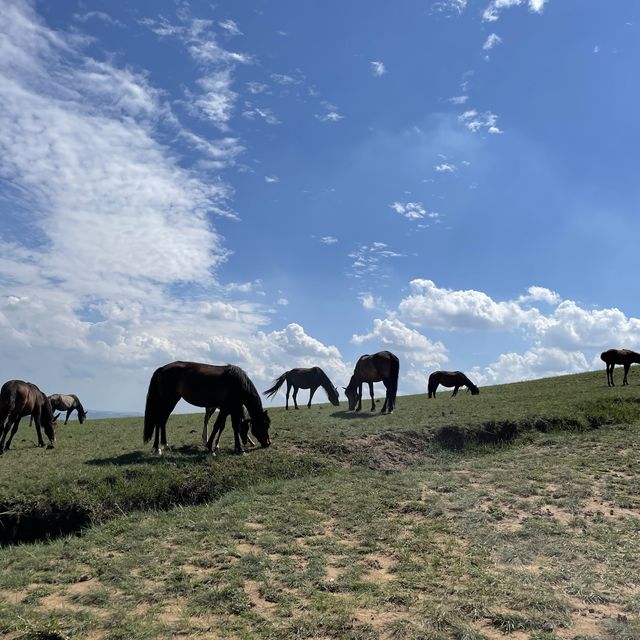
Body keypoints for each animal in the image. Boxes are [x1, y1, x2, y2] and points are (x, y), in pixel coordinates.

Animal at [144, 360, 272, 456]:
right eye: (265, 425)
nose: (268, 443)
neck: (238, 382)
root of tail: (162, 368)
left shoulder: (231, 408)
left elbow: (234, 426)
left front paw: (238, 448)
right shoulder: (226, 408)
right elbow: (218, 425)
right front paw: (210, 447)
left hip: (173, 399)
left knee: (163, 420)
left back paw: (165, 445)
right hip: (166, 400)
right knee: (159, 420)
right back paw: (157, 447)